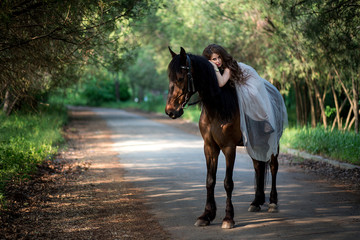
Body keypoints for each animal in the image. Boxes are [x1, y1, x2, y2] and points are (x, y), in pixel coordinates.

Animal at [165, 46, 280, 229]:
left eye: (181, 78)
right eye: (169, 77)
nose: (170, 111)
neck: (218, 108)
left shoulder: (229, 148)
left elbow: (228, 183)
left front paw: (228, 218)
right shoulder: (210, 147)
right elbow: (210, 181)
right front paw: (206, 215)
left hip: (274, 143)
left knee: (274, 166)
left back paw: (273, 203)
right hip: (254, 143)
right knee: (258, 166)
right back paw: (256, 202)